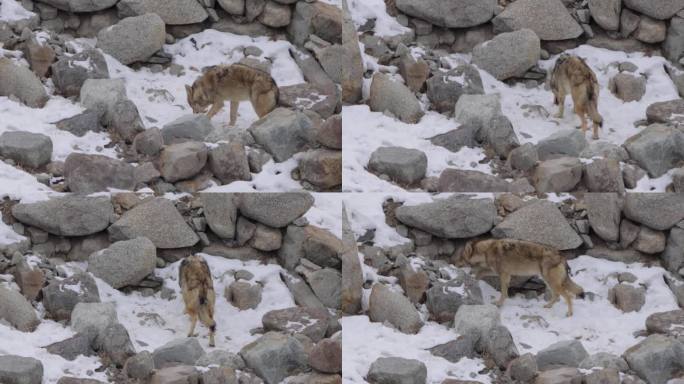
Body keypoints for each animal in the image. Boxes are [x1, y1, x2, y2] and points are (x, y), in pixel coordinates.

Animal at [456, 238, 584, 316]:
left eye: (460, 257)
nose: (454, 263)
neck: (486, 251)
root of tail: (561, 256)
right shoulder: (497, 272)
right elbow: (480, 272)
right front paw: (473, 277)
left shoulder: (504, 274)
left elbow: (503, 292)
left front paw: (499, 304)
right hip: (549, 281)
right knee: (557, 296)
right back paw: (547, 306)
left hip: (552, 282)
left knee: (568, 296)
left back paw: (569, 313)